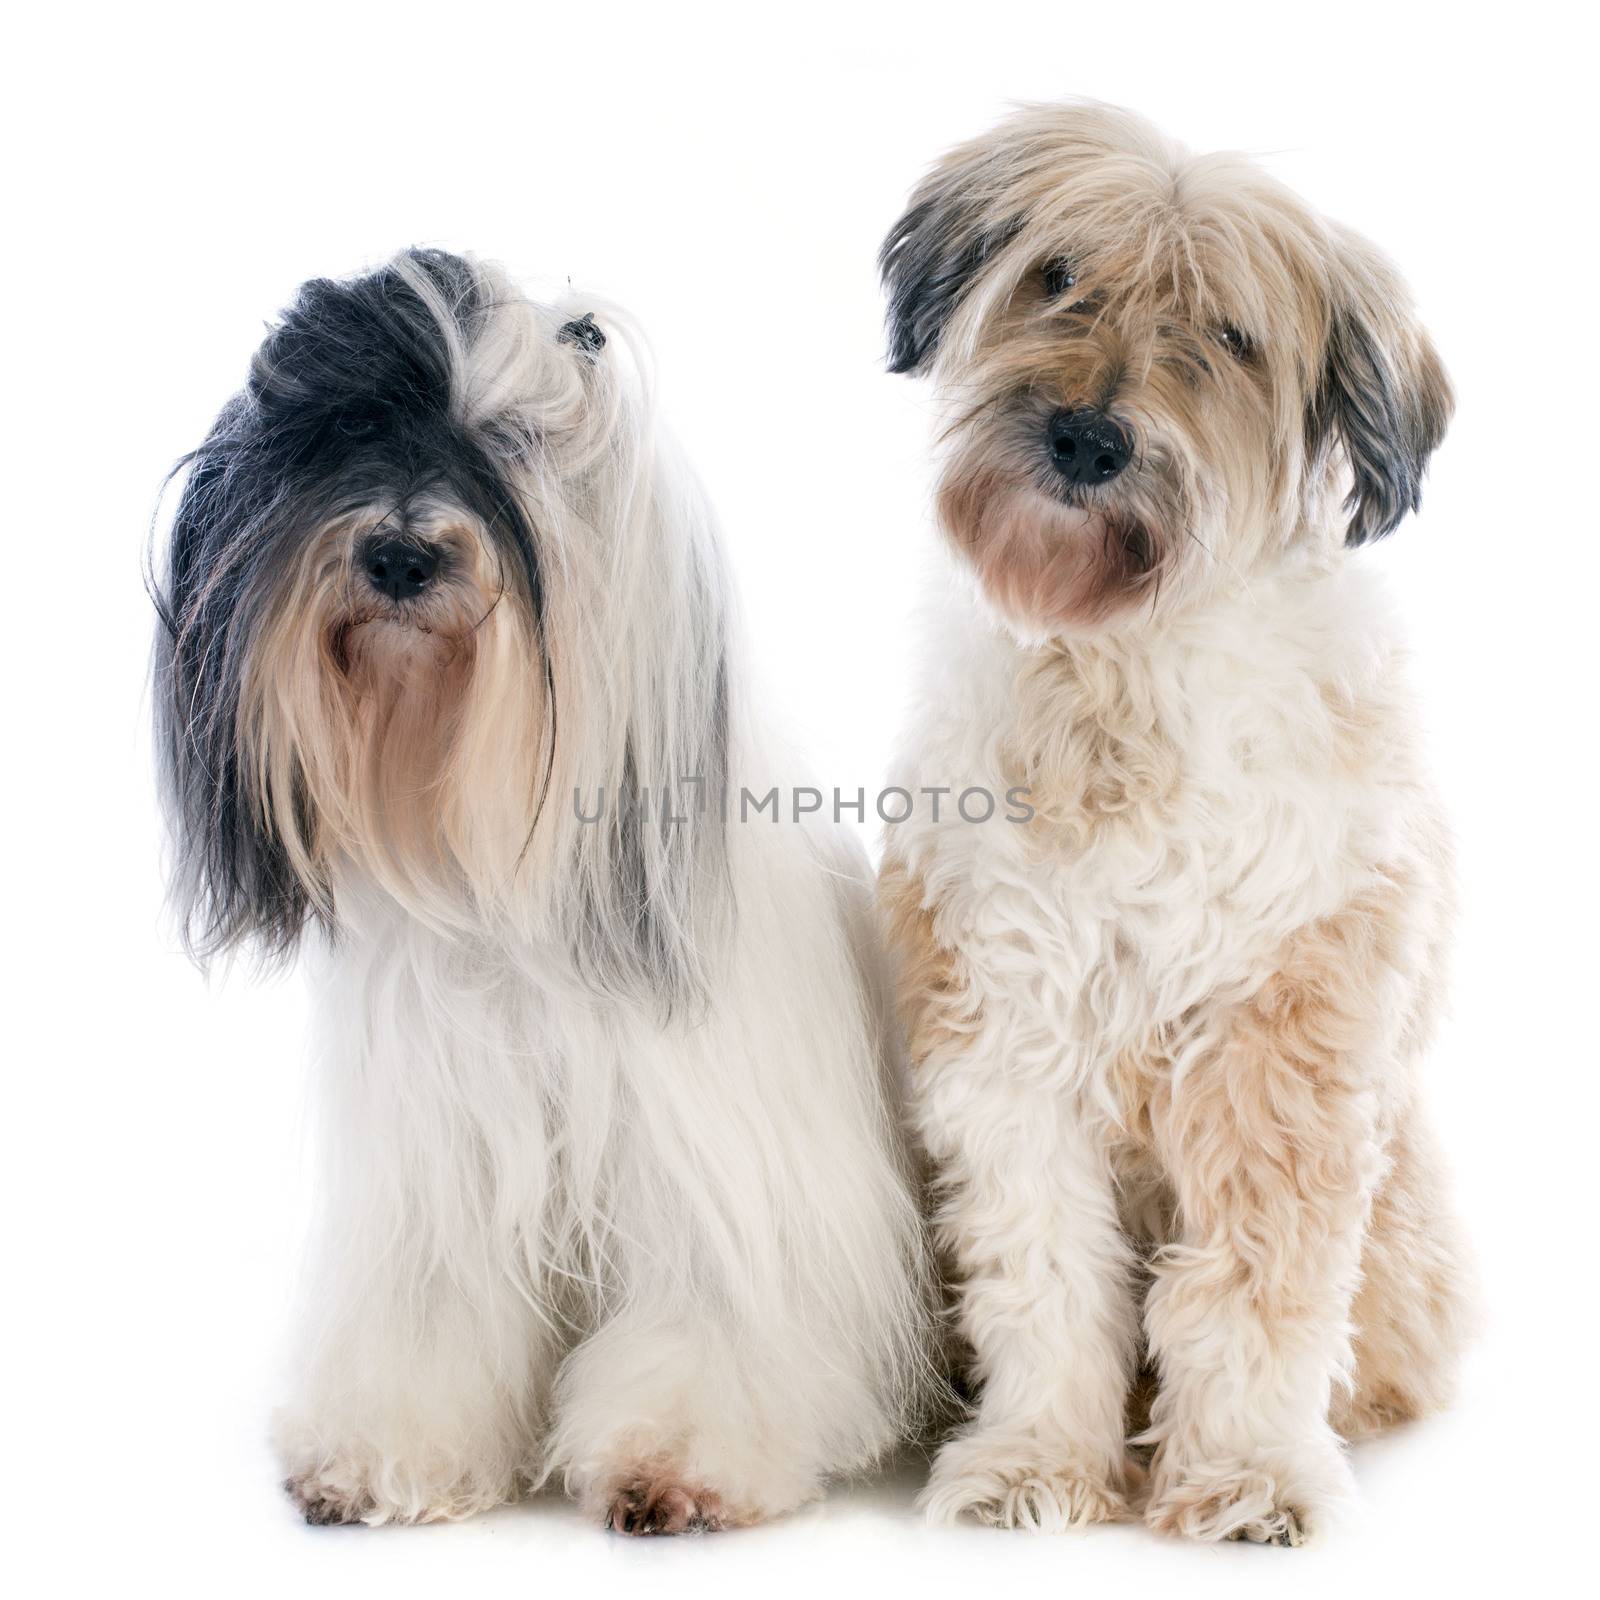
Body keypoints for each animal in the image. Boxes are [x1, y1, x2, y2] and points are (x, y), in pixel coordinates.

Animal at [152, 246, 928, 1523]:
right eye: (354, 426)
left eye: (513, 444)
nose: (401, 552)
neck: (504, 878)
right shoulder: (438, 1179)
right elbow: (427, 1318)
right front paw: (380, 1450)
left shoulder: (725, 1178)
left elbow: (716, 1315)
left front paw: (675, 1459)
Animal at [876, 103, 1472, 1548]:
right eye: (1054, 277)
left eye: (1234, 338)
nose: (1087, 440)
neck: (1119, 677)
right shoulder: (1006, 1039)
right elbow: (1043, 1279)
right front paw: (1034, 1461)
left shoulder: (1280, 1054)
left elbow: (1254, 1292)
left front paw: (1247, 1474)